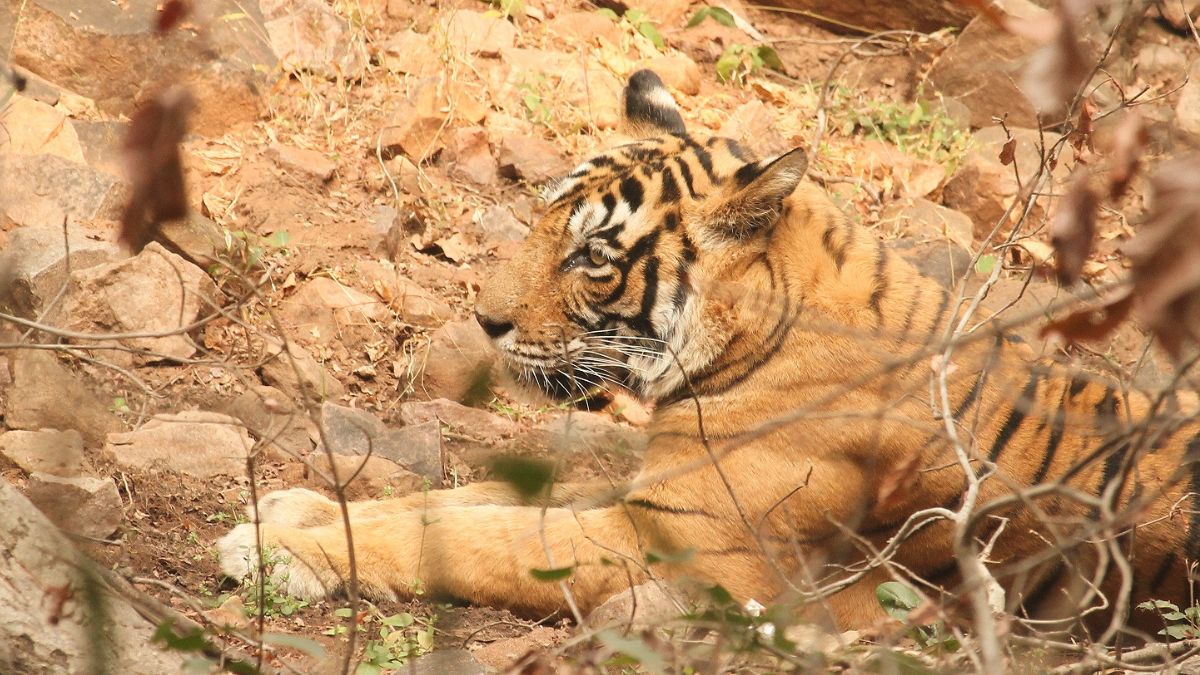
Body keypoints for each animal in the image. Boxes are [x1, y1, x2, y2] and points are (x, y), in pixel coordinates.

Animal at [219, 69, 1198, 637]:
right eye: (541, 217)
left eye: (593, 255)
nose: (486, 320)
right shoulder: (649, 493)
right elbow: (467, 495)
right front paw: (298, 507)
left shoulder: (677, 542)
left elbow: (463, 530)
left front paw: (279, 551)